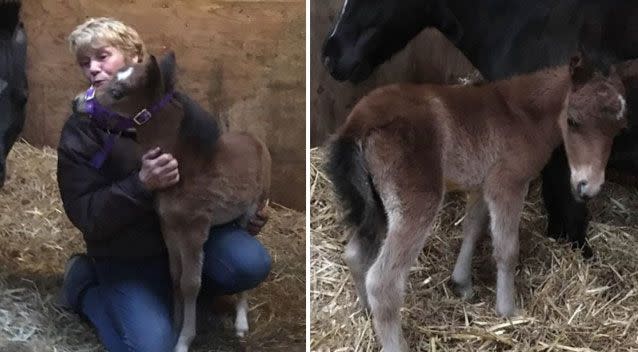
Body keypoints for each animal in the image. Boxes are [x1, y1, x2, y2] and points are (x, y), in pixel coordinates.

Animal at [330, 56, 632, 350]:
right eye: (573, 121)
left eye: (619, 129)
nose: (588, 187)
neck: (521, 115)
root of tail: (359, 121)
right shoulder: (508, 184)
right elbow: (507, 249)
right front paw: (508, 311)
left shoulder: (482, 185)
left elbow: (473, 228)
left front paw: (462, 283)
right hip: (415, 201)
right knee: (382, 283)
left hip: (376, 202)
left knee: (355, 254)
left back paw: (366, 313)